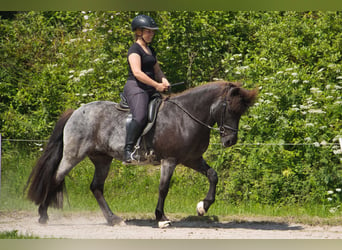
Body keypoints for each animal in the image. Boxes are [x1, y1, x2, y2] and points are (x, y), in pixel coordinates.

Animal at [26, 81, 256, 228]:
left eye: (240, 112)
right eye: (229, 108)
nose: (230, 141)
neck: (186, 116)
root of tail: (75, 112)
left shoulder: (192, 159)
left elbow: (213, 175)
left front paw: (203, 207)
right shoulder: (170, 160)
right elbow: (163, 188)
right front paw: (161, 218)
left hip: (102, 159)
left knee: (96, 187)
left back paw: (113, 219)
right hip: (74, 155)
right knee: (56, 177)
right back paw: (43, 215)